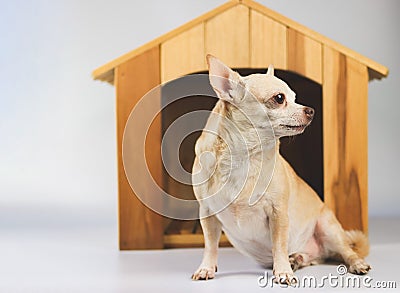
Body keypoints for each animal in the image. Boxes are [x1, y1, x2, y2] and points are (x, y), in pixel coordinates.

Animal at [192, 54, 370, 282]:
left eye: (295, 98)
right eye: (279, 98)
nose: (311, 110)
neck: (246, 156)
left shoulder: (278, 214)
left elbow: (278, 245)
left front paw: (283, 271)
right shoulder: (208, 213)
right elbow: (210, 245)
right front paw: (206, 268)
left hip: (329, 229)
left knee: (348, 251)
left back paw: (356, 263)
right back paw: (298, 259)